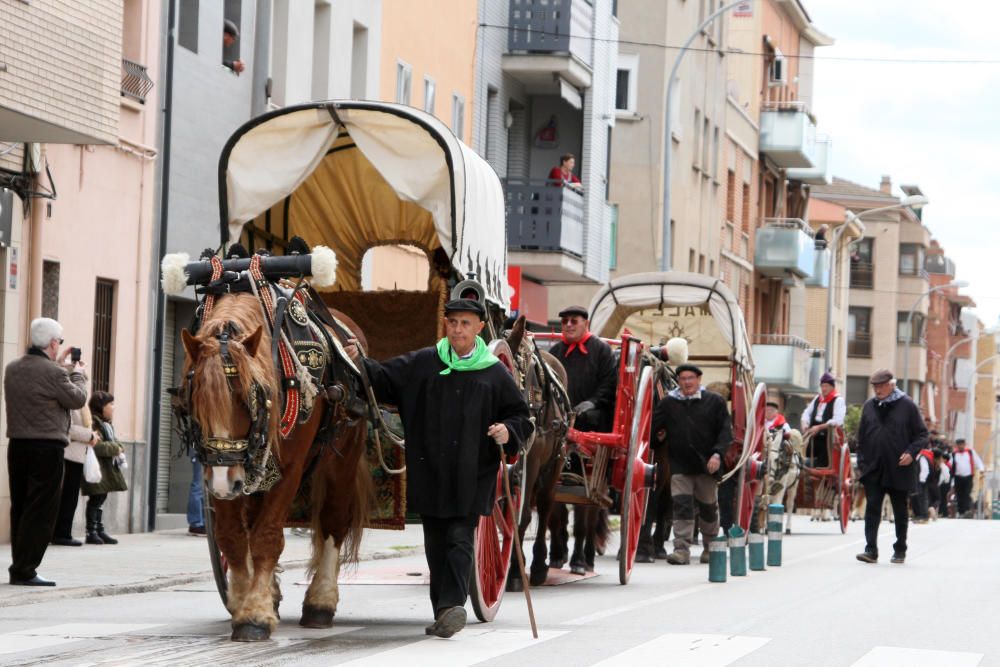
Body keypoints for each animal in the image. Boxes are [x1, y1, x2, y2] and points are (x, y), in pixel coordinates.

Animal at [180, 294, 372, 640]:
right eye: (195, 398)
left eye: (247, 398)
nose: (224, 482)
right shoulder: (216, 472)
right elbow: (233, 538)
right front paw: (245, 601)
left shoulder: (288, 471)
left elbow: (267, 536)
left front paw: (255, 615)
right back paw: (272, 592)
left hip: (343, 457)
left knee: (334, 521)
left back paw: (320, 602)